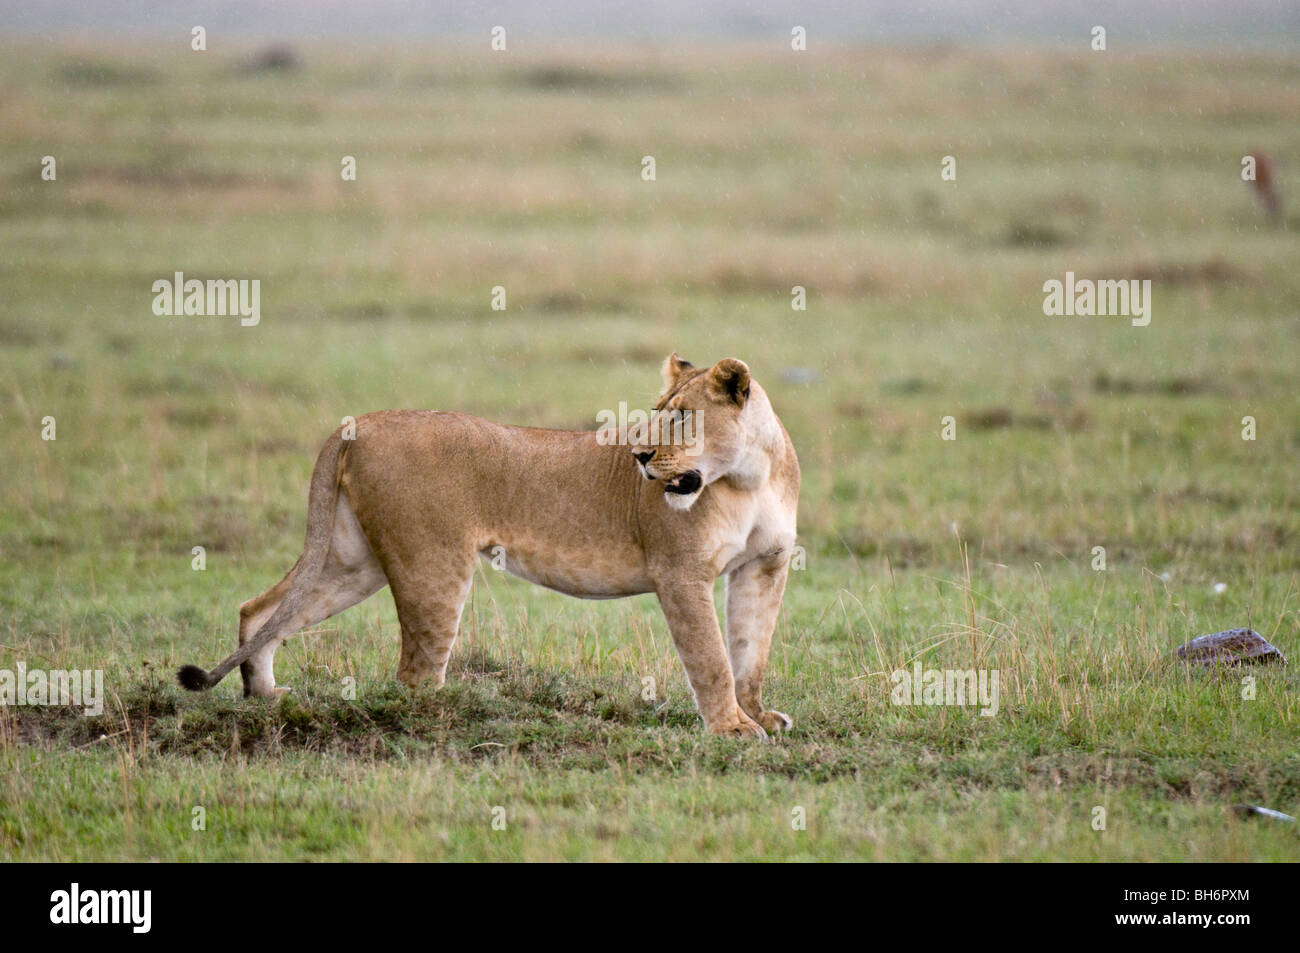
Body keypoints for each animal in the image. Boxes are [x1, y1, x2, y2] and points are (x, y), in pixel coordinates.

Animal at [177, 354, 800, 738]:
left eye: (685, 417)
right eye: (657, 415)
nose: (640, 456)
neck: (745, 477)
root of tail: (361, 423)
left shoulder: (764, 567)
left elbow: (750, 652)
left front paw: (757, 715)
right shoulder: (679, 572)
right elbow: (712, 658)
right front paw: (731, 729)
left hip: (352, 562)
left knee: (261, 609)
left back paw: (265, 695)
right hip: (434, 564)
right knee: (414, 678)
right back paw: (452, 717)